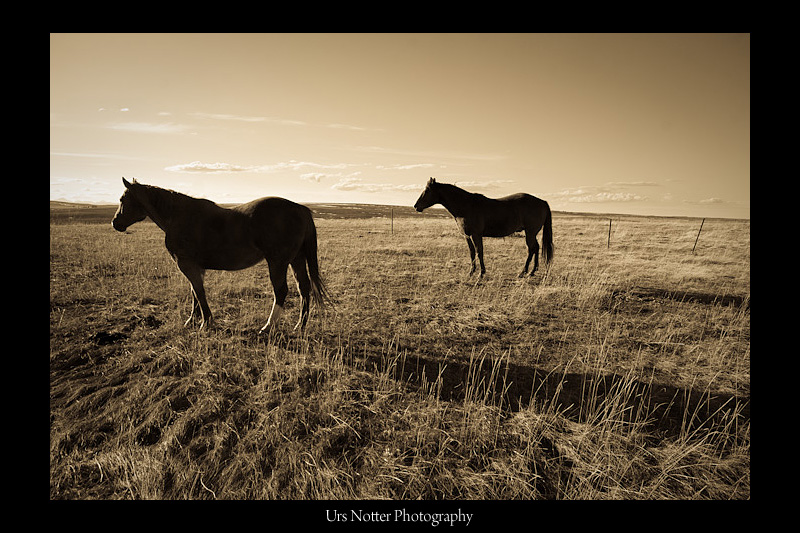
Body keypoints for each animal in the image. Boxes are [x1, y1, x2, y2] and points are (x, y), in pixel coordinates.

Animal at [110, 177, 328, 330]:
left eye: (122, 199)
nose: (115, 223)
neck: (178, 217)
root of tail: (300, 209)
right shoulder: (195, 266)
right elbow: (194, 292)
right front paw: (192, 320)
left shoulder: (186, 264)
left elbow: (199, 292)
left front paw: (206, 322)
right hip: (296, 259)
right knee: (303, 288)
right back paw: (300, 325)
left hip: (278, 262)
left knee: (281, 291)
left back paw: (268, 327)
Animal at [416, 179, 552, 278]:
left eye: (427, 190)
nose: (416, 206)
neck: (466, 206)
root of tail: (542, 202)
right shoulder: (467, 236)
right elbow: (472, 252)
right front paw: (471, 272)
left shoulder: (476, 235)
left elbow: (479, 252)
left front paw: (481, 273)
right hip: (532, 233)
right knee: (536, 248)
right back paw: (532, 271)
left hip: (530, 233)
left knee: (531, 249)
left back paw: (523, 272)